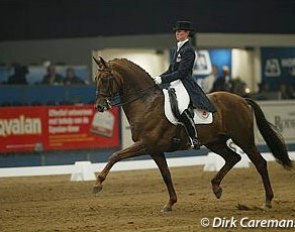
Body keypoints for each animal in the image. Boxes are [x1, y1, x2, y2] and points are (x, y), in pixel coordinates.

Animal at [93, 56, 294, 212]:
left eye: (105, 78)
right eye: (96, 78)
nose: (99, 107)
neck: (146, 103)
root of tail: (241, 99)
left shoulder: (145, 144)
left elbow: (115, 156)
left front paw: (98, 184)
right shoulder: (155, 150)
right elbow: (166, 175)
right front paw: (170, 204)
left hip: (244, 139)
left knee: (260, 163)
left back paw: (267, 202)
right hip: (215, 142)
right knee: (233, 158)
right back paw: (216, 188)